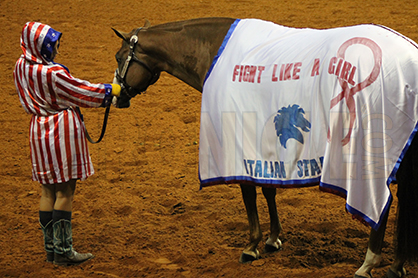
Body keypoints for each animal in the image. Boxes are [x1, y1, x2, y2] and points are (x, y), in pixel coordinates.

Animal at [112, 17, 418, 278]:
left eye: (118, 57)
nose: (116, 97)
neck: (213, 53)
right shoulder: (264, 149)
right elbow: (269, 188)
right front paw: (273, 239)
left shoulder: (237, 147)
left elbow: (249, 192)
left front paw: (252, 246)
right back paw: (396, 265)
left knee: (381, 204)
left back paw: (368, 263)